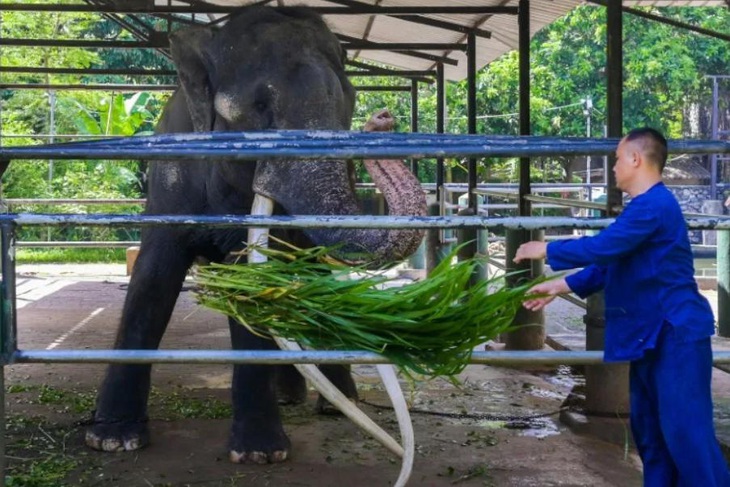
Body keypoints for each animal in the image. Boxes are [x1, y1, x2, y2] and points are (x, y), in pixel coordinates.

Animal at [85, 6, 426, 466]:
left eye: (347, 103)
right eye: (259, 107)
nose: (382, 119)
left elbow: (251, 284)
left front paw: (259, 453)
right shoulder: (170, 177)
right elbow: (152, 281)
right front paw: (112, 440)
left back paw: (331, 404)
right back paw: (292, 397)